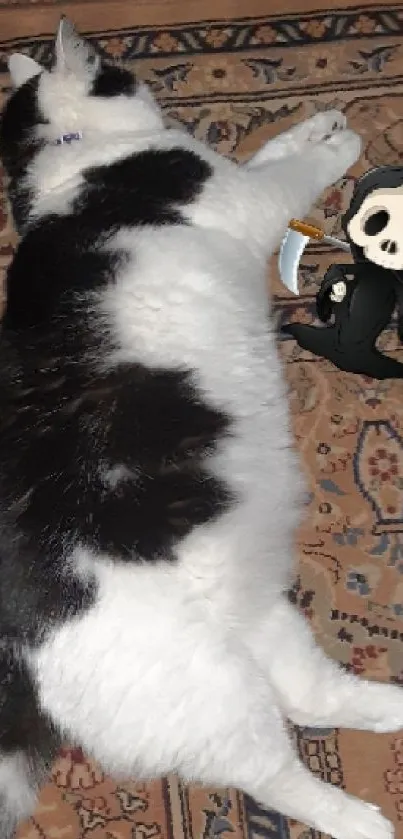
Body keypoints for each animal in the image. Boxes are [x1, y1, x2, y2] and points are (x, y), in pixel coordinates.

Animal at [0, 18, 400, 839]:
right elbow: (290, 169)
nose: (130, 71)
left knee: (314, 695)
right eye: (113, 66)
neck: (74, 154)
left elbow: (273, 147)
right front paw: (339, 142)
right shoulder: (246, 199)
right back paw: (364, 821)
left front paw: (319, 120)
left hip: (263, 622)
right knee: (278, 771)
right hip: (214, 699)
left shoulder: (234, 175)